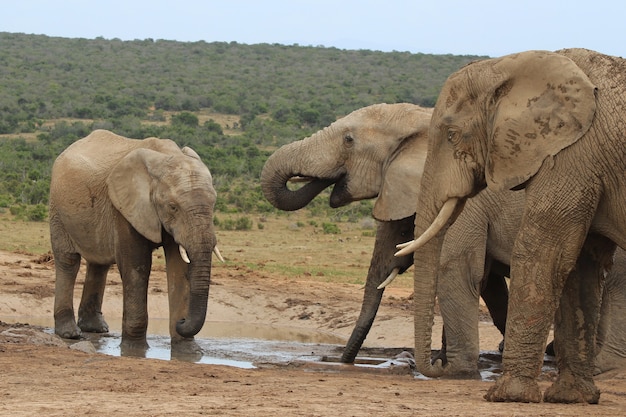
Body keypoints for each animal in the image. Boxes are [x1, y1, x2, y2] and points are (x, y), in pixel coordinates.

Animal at [50, 128, 222, 350]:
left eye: (213, 204)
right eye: (173, 207)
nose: (182, 321)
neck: (166, 156)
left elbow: (179, 267)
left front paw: (188, 350)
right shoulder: (123, 206)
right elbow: (136, 265)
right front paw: (135, 348)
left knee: (99, 264)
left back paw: (95, 329)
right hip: (57, 208)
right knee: (68, 261)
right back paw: (70, 333)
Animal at [394, 48, 624, 404]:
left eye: (452, 135)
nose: (436, 365)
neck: (508, 66)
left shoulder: (572, 155)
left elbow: (544, 253)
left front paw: (507, 395)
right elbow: (581, 265)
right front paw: (572, 398)